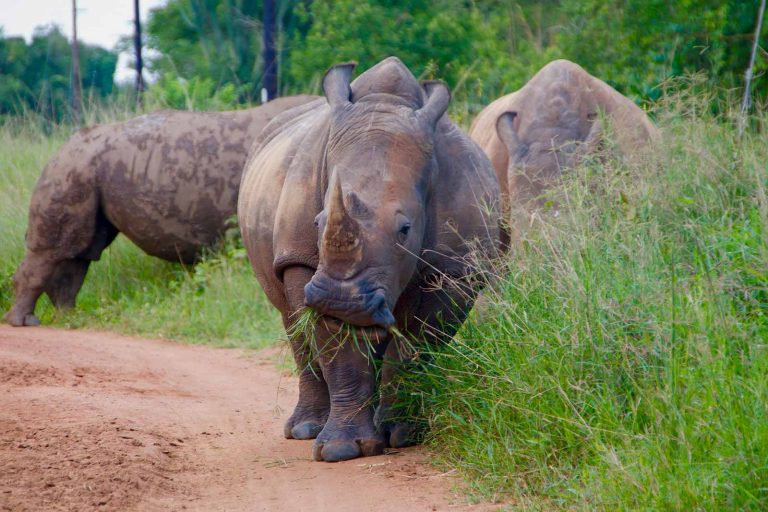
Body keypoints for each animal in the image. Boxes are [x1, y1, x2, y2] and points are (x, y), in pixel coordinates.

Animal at [5, 95, 317, 327]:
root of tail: (62, 147)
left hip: (84, 168)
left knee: (80, 251)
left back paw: (68, 318)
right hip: (74, 168)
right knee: (58, 249)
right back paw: (25, 322)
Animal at [238, 57, 500, 462]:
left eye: (405, 229)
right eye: (317, 222)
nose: (341, 300)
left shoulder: (455, 269)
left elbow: (415, 347)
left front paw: (404, 435)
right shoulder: (303, 260)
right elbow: (337, 347)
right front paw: (341, 450)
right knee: (293, 322)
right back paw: (305, 430)